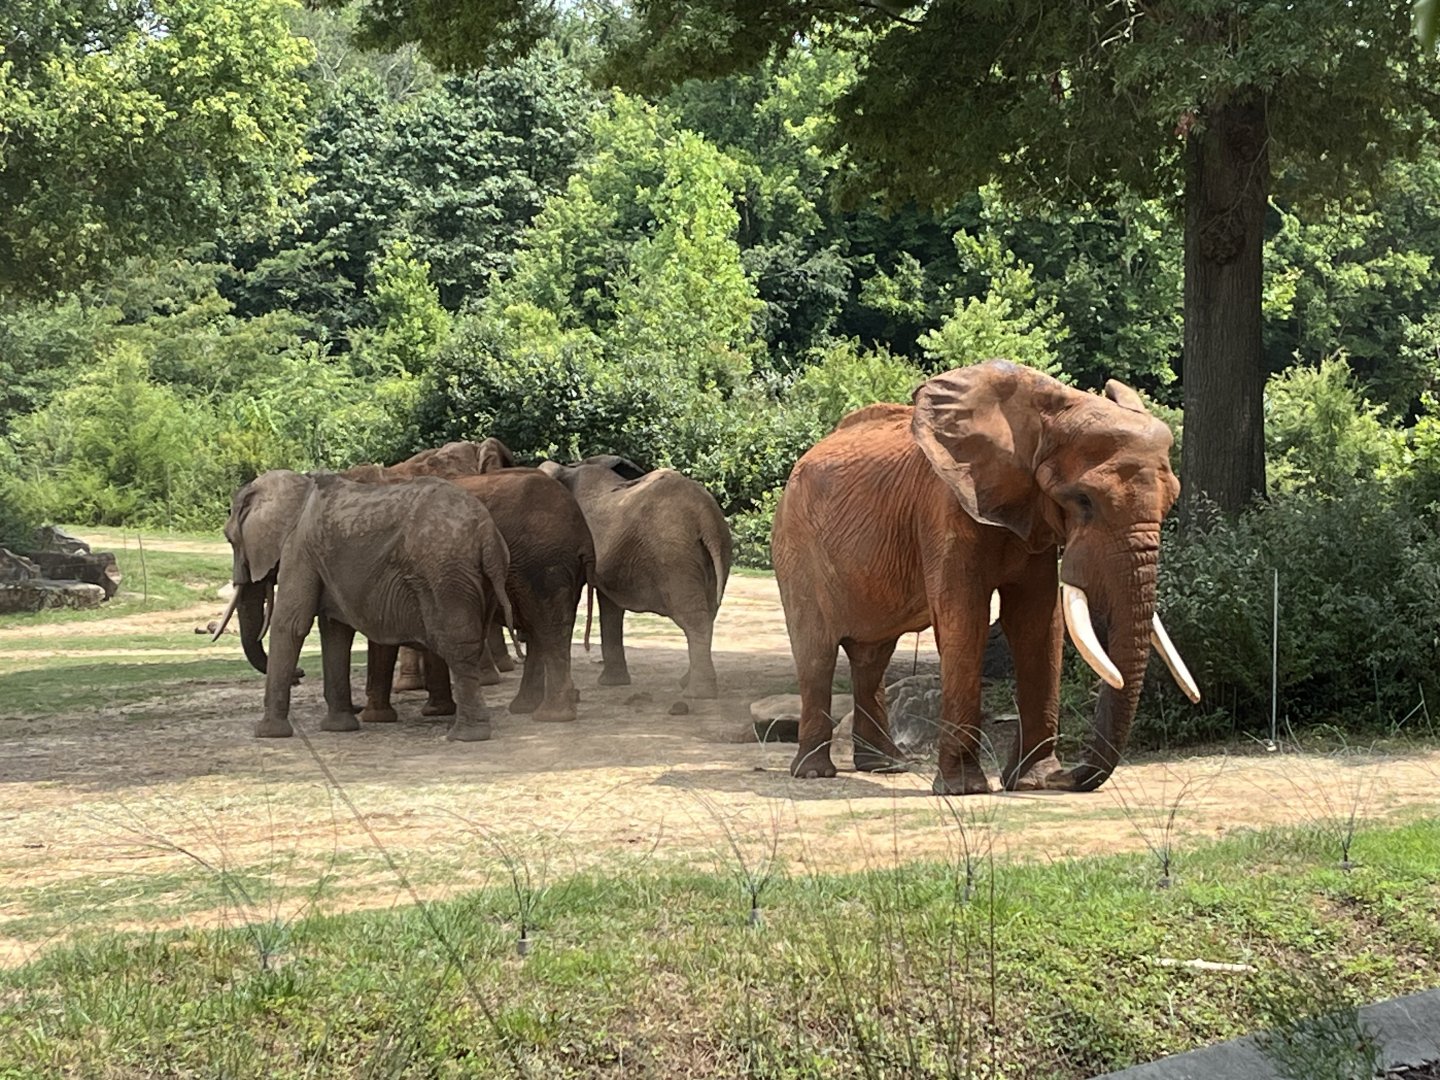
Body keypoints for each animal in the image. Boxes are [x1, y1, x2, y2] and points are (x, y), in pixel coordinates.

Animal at [214, 470, 513, 742]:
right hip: (474, 577)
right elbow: (335, 631)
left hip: (446, 572)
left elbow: (291, 624)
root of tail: (487, 533)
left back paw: (466, 735)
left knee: (457, 646)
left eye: (230, 539)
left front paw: (267, 733)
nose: (300, 675)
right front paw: (339, 727)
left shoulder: (298, 549)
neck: (299, 485)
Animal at [352, 468, 597, 725]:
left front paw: (374, 718)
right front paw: (438, 711)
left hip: (544, 564)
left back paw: (551, 716)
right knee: (540, 627)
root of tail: (583, 534)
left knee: (549, 628)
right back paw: (526, 708)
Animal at [540, 455, 731, 698]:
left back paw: (696, 693)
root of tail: (705, 516)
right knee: (709, 611)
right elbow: (609, 605)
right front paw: (612, 683)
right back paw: (687, 683)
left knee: (694, 617)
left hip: (674, 555)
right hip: (713, 551)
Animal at [770, 360, 1199, 795]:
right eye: (1083, 501)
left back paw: (885, 766)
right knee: (817, 652)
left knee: (872, 656)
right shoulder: (945, 508)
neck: (1044, 415)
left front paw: (1031, 782)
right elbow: (965, 618)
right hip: (795, 544)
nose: (1068, 777)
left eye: (1172, 502)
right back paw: (814, 771)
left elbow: (1037, 623)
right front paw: (965, 789)